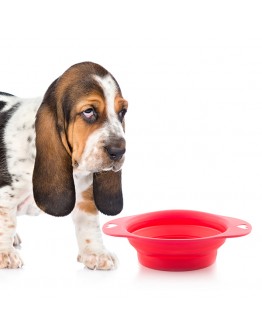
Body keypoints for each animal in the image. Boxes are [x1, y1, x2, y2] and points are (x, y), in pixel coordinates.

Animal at [0, 61, 128, 270]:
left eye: (122, 112)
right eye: (89, 111)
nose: (118, 151)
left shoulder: (85, 195)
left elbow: (89, 224)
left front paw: (96, 253)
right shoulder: (5, 195)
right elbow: (6, 223)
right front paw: (5, 254)